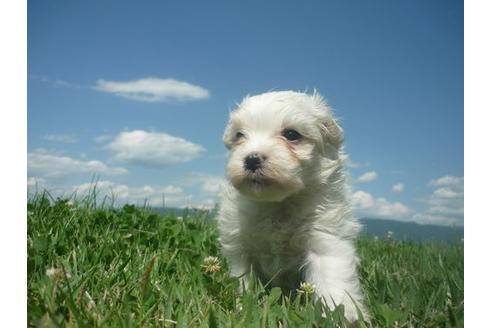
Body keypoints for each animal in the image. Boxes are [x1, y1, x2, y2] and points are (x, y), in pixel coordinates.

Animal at [217, 91, 368, 322]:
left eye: (291, 134)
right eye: (239, 135)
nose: (251, 159)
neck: (279, 203)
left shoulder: (325, 238)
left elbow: (332, 279)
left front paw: (344, 316)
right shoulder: (239, 244)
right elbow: (243, 279)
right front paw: (243, 307)